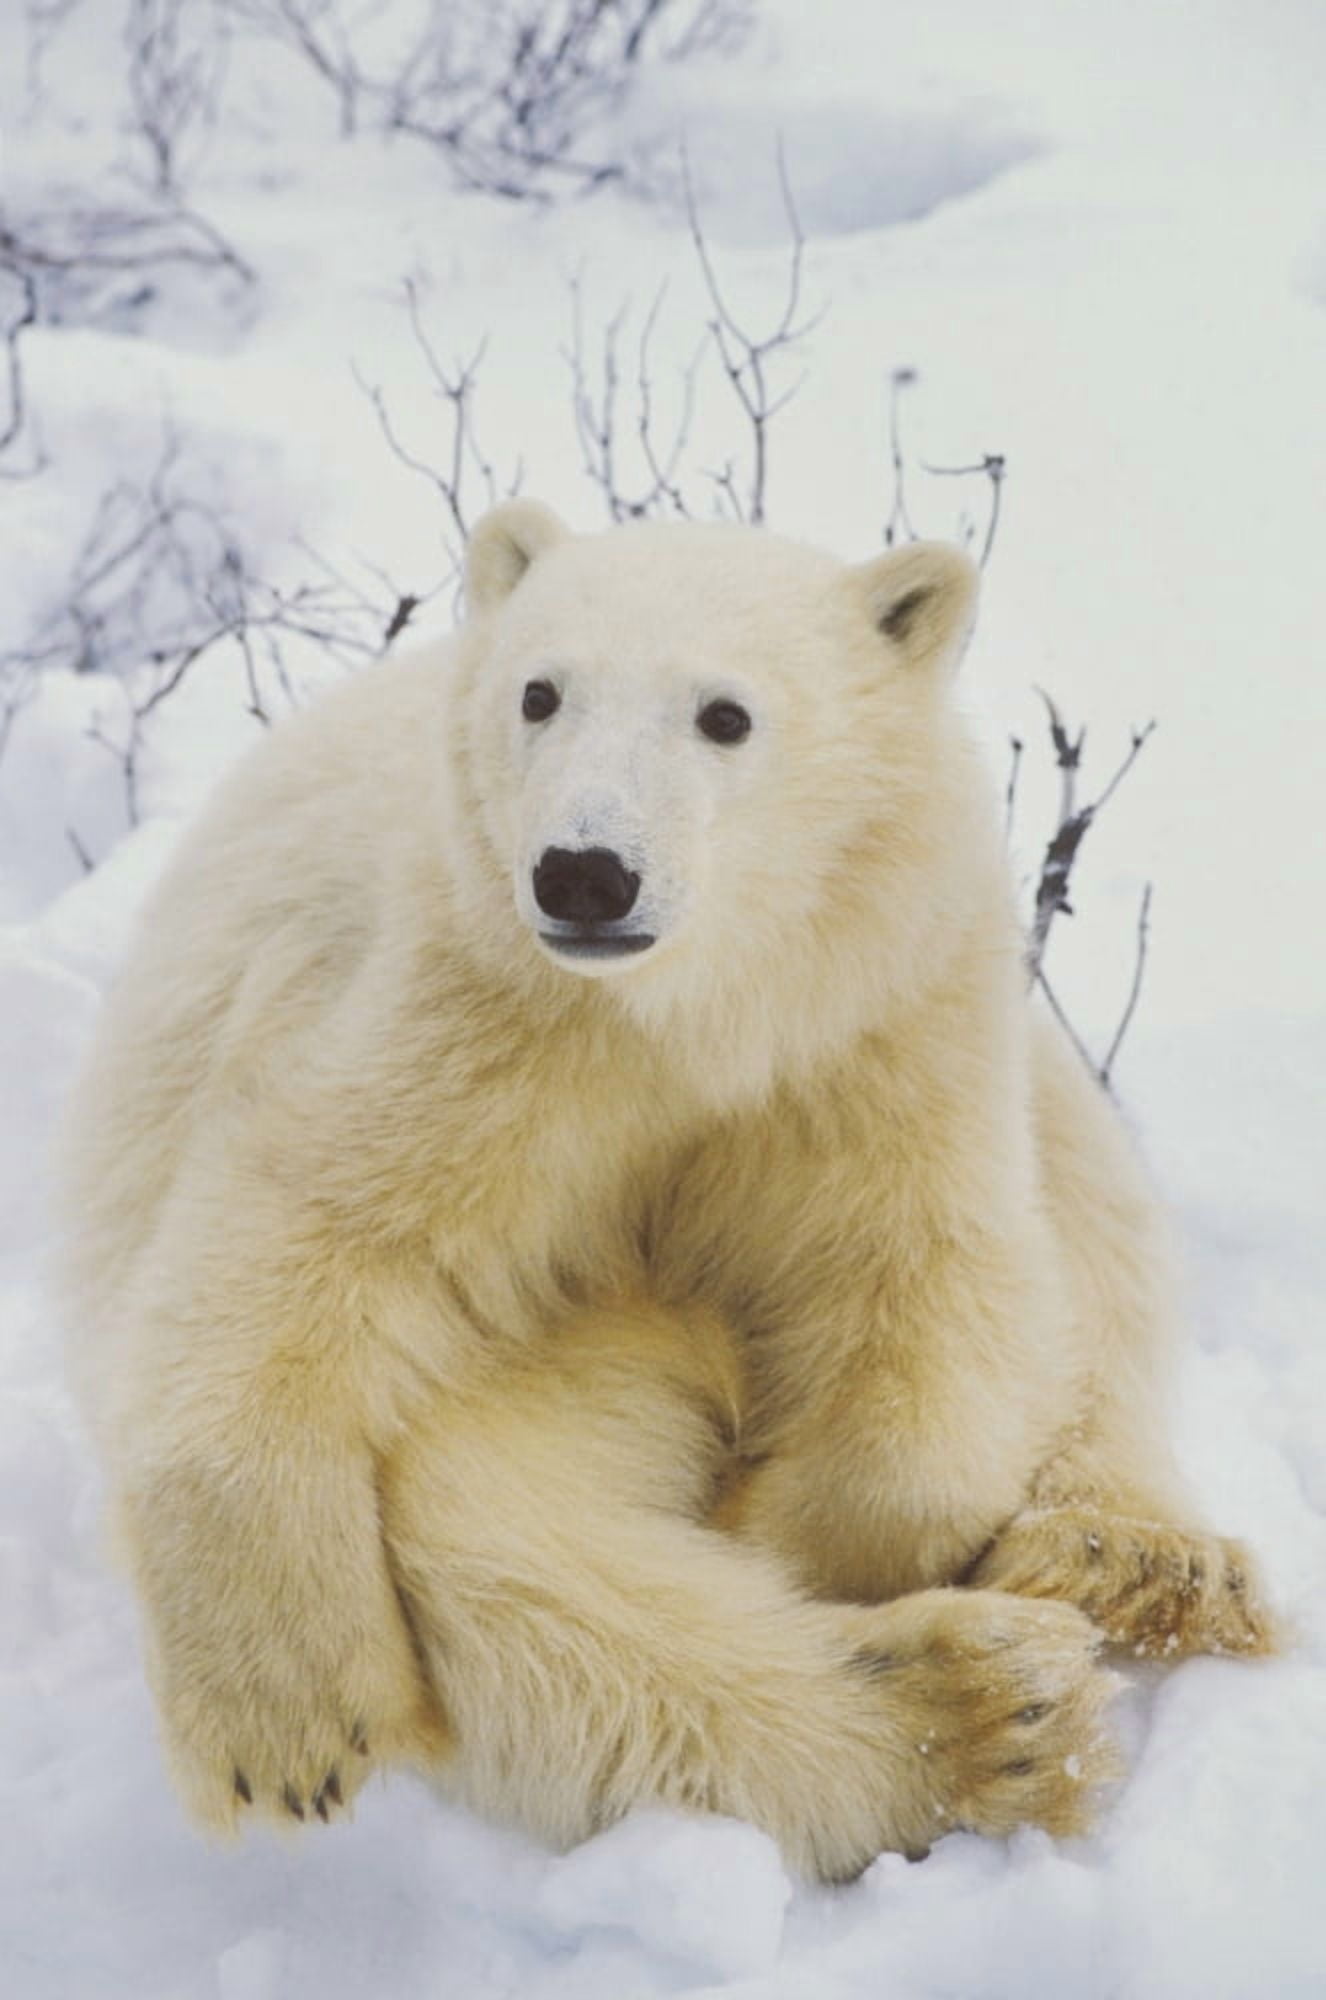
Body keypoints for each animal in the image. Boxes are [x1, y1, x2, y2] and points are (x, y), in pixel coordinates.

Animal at [62, 501, 1277, 1883]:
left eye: (726, 714)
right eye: (539, 692)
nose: (585, 873)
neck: (686, 1015)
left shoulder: (876, 1022)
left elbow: (927, 1292)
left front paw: (783, 1519)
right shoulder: (471, 1024)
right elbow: (299, 1231)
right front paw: (289, 1726)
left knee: (1099, 1236)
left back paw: (1126, 1565)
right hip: (558, 1353)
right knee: (514, 1564)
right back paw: (990, 1704)